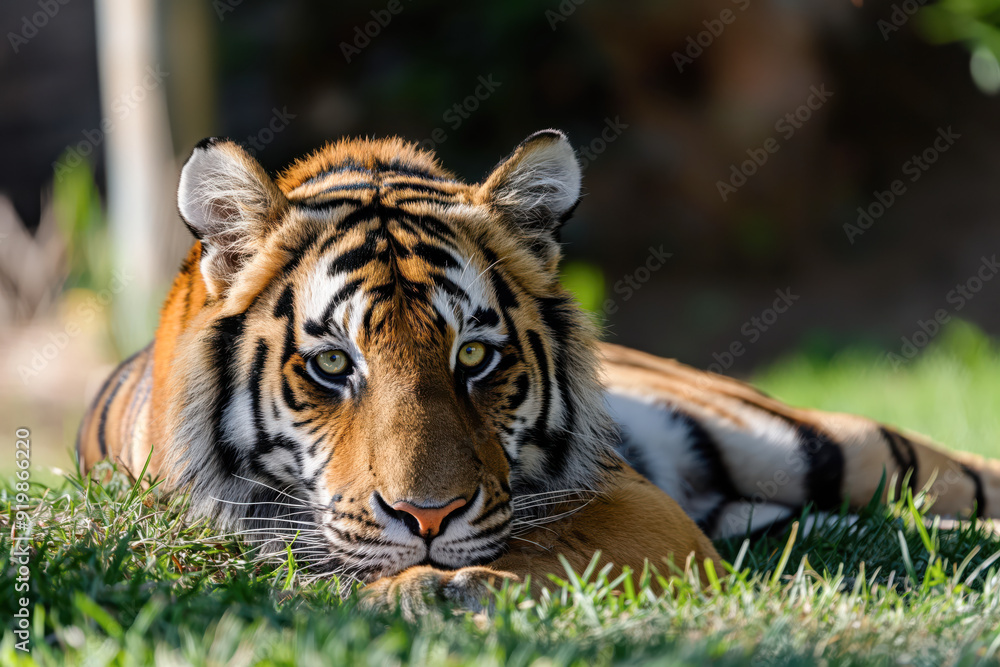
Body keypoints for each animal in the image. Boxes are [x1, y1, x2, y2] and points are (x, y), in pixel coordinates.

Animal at [77, 130, 1000, 615]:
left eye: (474, 355)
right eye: (333, 363)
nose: (428, 516)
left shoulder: (641, 510)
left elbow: (548, 549)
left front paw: (445, 586)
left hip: (829, 447)